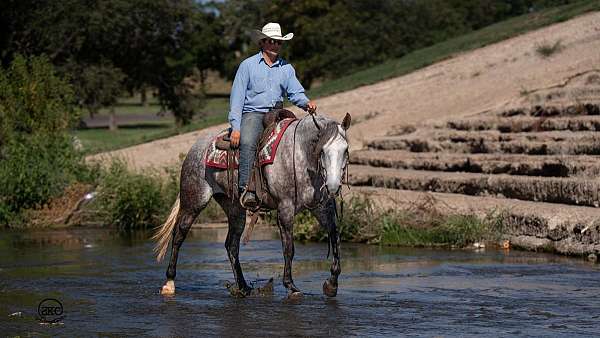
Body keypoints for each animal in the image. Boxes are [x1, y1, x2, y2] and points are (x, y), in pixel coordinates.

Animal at [152, 112, 352, 298]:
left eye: (346, 150)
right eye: (322, 151)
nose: (333, 186)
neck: (300, 155)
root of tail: (195, 148)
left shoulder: (322, 207)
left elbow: (335, 237)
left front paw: (332, 284)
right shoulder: (285, 209)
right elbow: (289, 249)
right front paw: (291, 286)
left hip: (234, 208)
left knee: (231, 245)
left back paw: (242, 287)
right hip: (194, 202)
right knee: (179, 235)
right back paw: (169, 283)